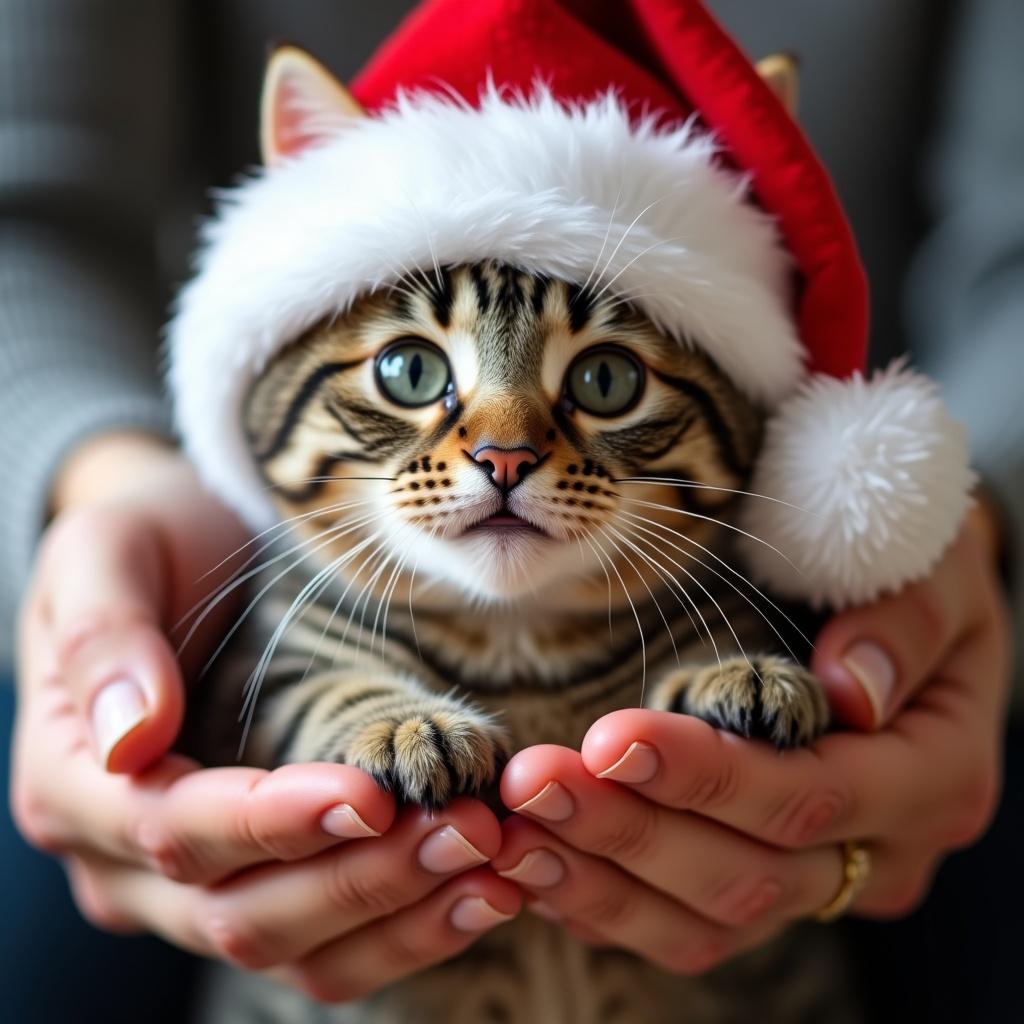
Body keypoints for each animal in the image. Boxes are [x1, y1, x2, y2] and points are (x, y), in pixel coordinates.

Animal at [184, 258, 847, 1024]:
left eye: (606, 379)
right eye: (408, 370)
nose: (505, 457)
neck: (513, 636)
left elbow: (707, 643)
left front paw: (743, 676)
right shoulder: (259, 674)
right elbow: (328, 686)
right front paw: (409, 728)